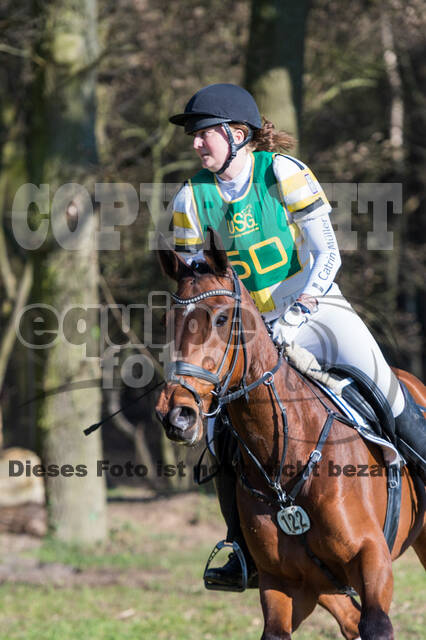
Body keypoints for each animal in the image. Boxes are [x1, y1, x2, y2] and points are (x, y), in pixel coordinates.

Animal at [156, 228, 426, 636]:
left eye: (222, 318)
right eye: (168, 320)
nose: (177, 414)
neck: (289, 457)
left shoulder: (373, 558)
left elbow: (377, 625)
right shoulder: (283, 584)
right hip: (325, 586)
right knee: (349, 621)